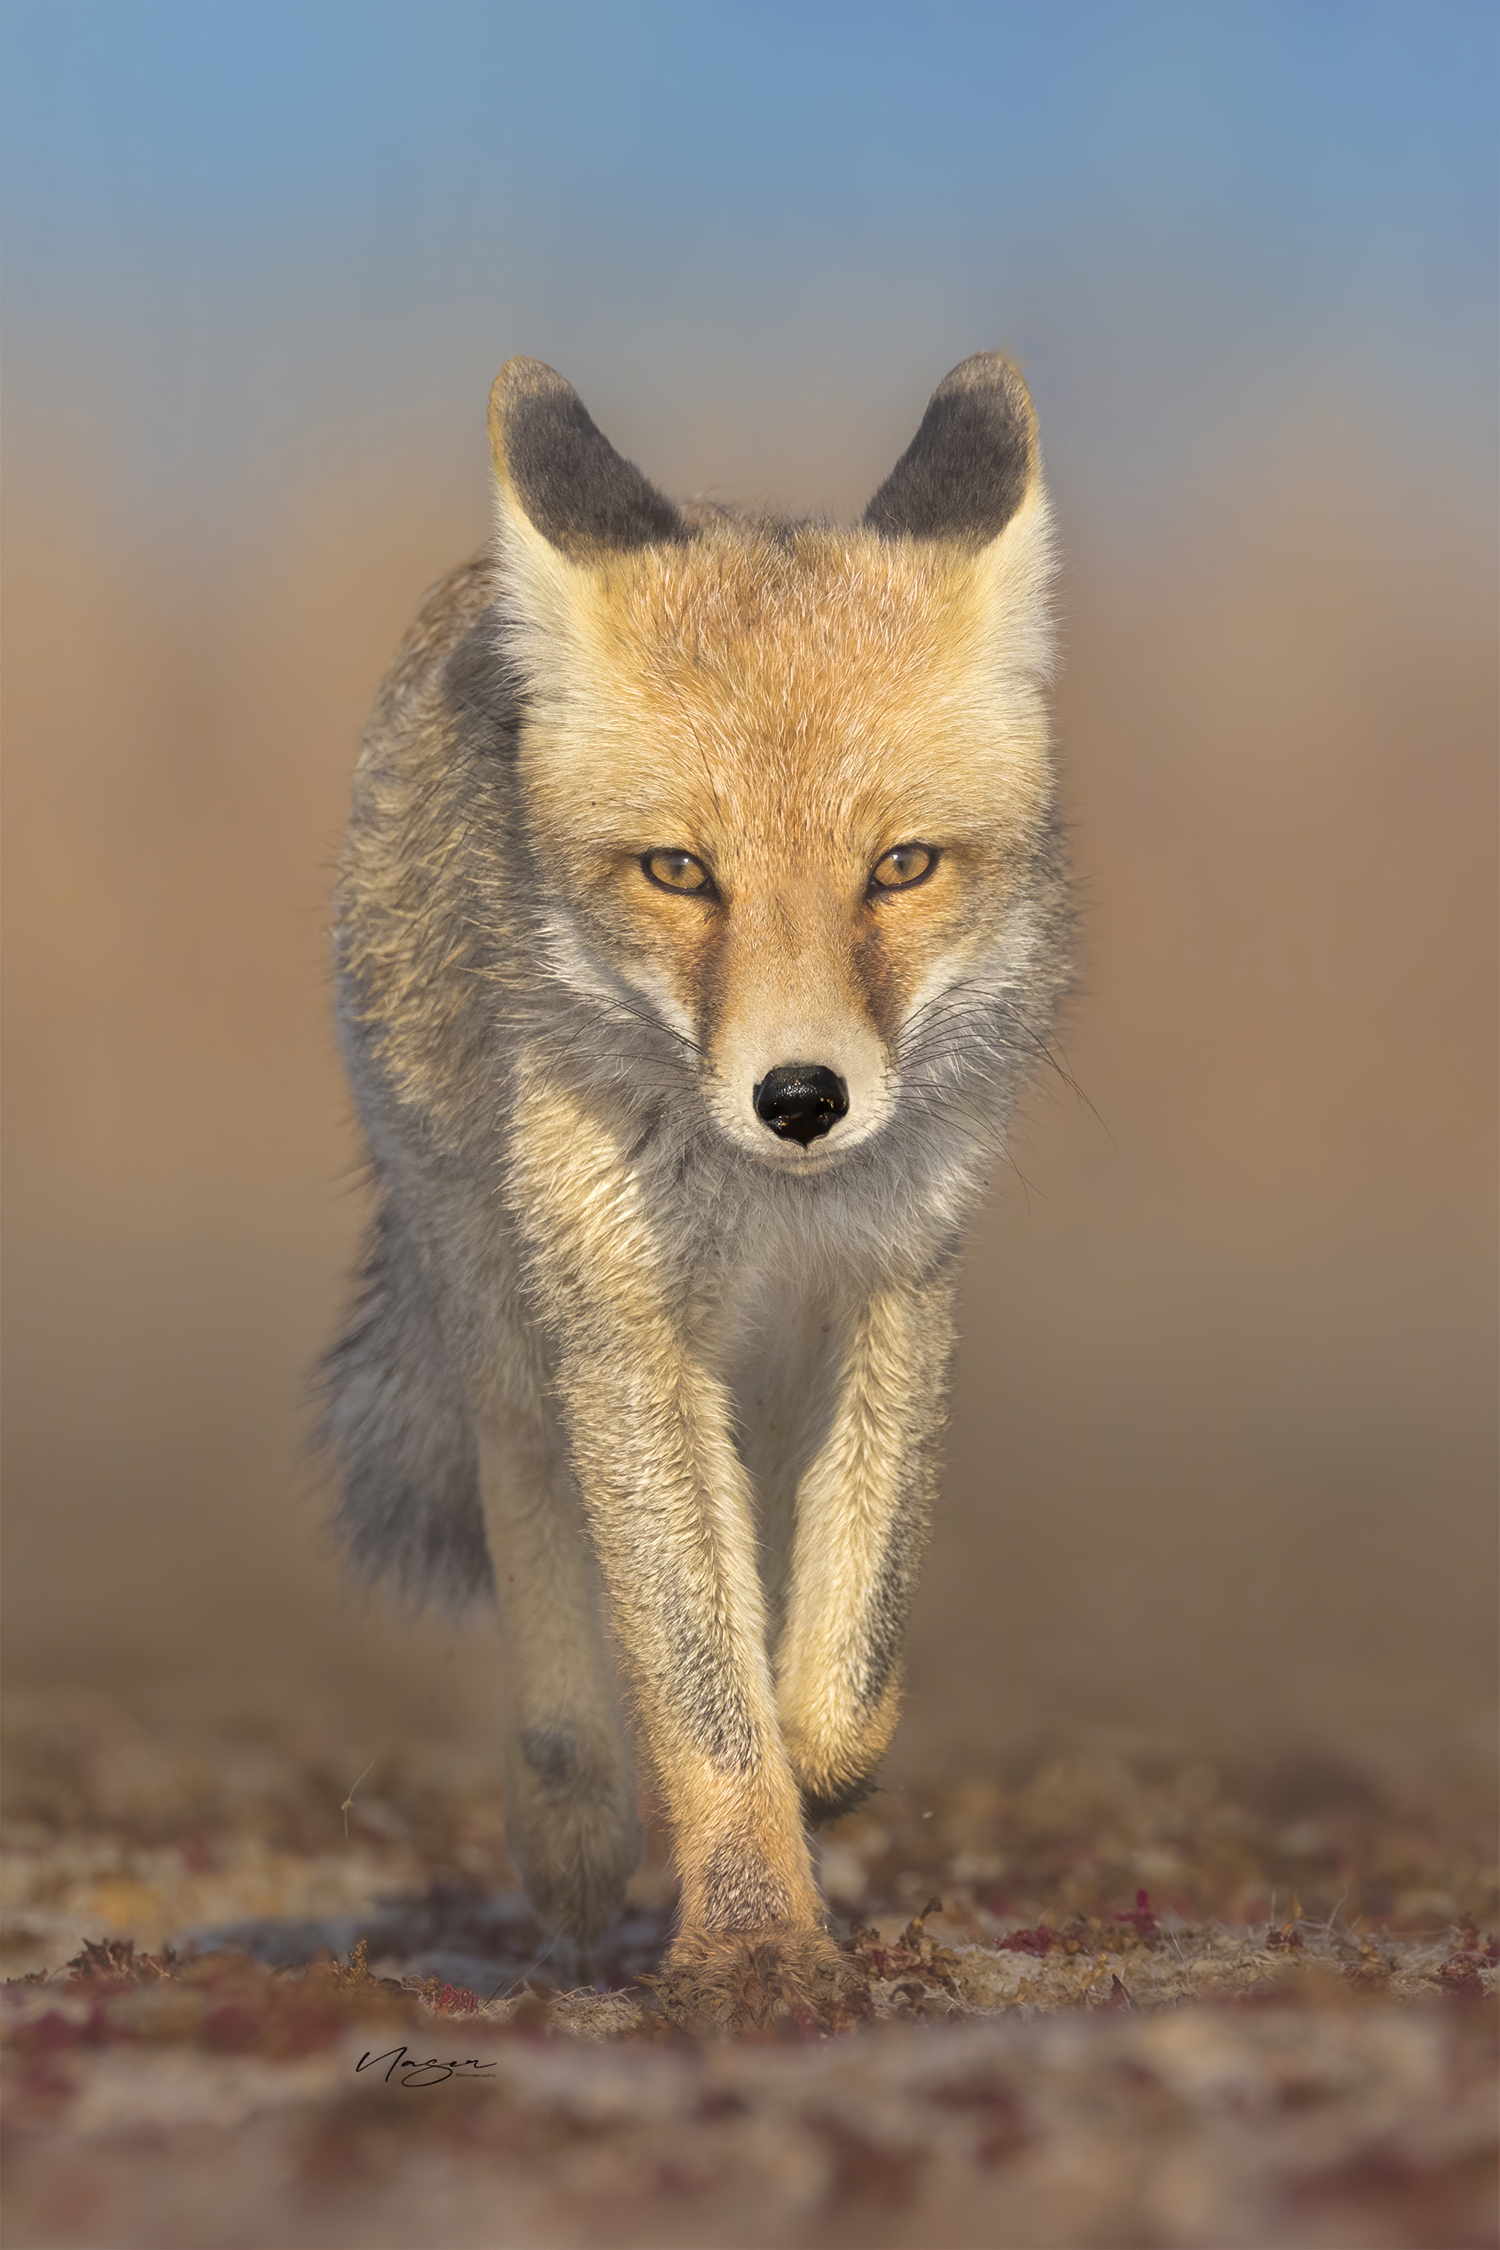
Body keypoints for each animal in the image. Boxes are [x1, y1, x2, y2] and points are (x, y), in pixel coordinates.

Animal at [320, 351, 1069, 2026]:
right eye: (679, 873)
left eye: (902, 868)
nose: (802, 1100)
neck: (772, 1215)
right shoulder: (631, 1334)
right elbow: (700, 1689)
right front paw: (753, 1940)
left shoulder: (897, 1282)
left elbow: (843, 1666)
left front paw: (816, 1775)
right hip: (507, 1298)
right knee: (527, 1502)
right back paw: (574, 1821)